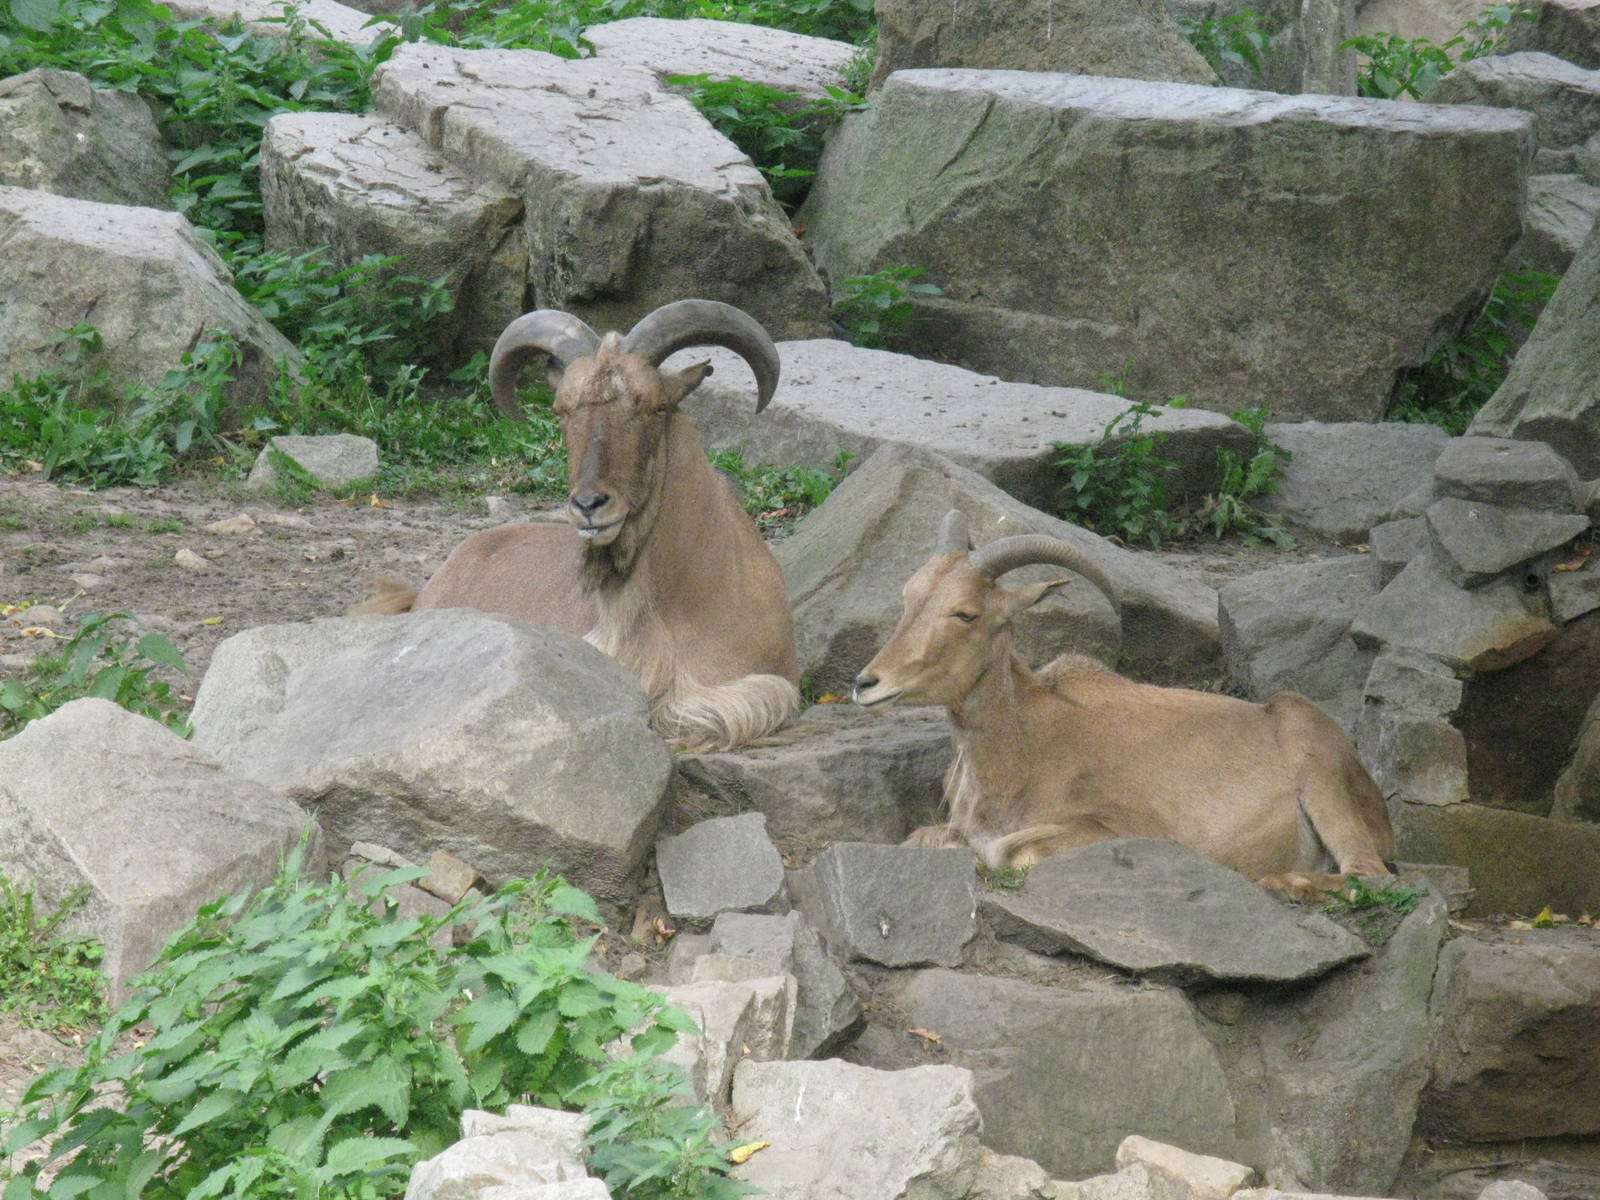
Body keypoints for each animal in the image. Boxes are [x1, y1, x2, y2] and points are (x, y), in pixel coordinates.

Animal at [851, 510, 1396, 900]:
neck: (1023, 743)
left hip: (1322, 779)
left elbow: (1021, 855)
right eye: (908, 597)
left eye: (965, 613)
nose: (866, 683)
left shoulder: (1128, 830)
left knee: (1373, 875)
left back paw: (1285, 883)